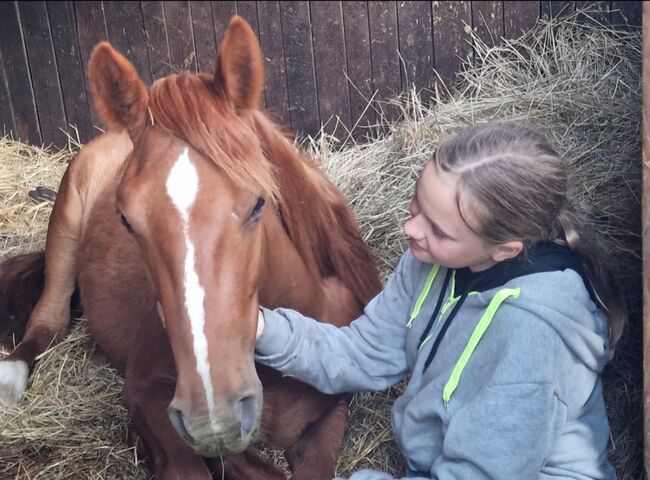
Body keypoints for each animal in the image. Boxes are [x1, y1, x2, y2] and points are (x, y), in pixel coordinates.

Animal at [0, 15, 380, 480]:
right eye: (126, 220)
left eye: (258, 203)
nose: (213, 419)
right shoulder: (147, 395)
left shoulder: (332, 414)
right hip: (65, 227)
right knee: (48, 320)